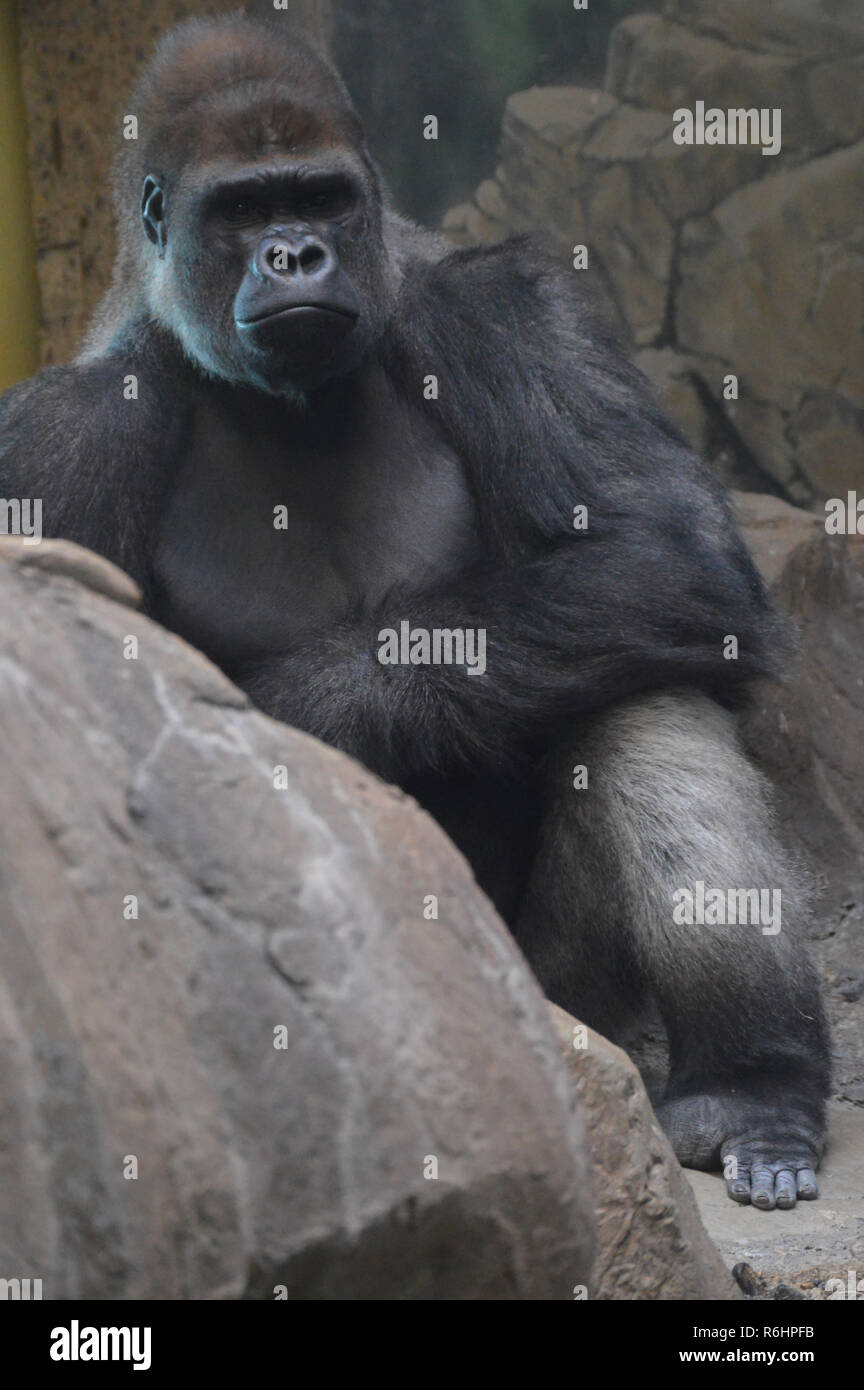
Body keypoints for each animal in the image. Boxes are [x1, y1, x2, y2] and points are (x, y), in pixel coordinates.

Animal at [0, 10, 833, 1206]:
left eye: (318, 197)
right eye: (241, 210)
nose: (296, 255)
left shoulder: (499, 310)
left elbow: (662, 548)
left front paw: (289, 707)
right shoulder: (59, 441)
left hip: (562, 1014)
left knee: (638, 688)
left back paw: (751, 1083)